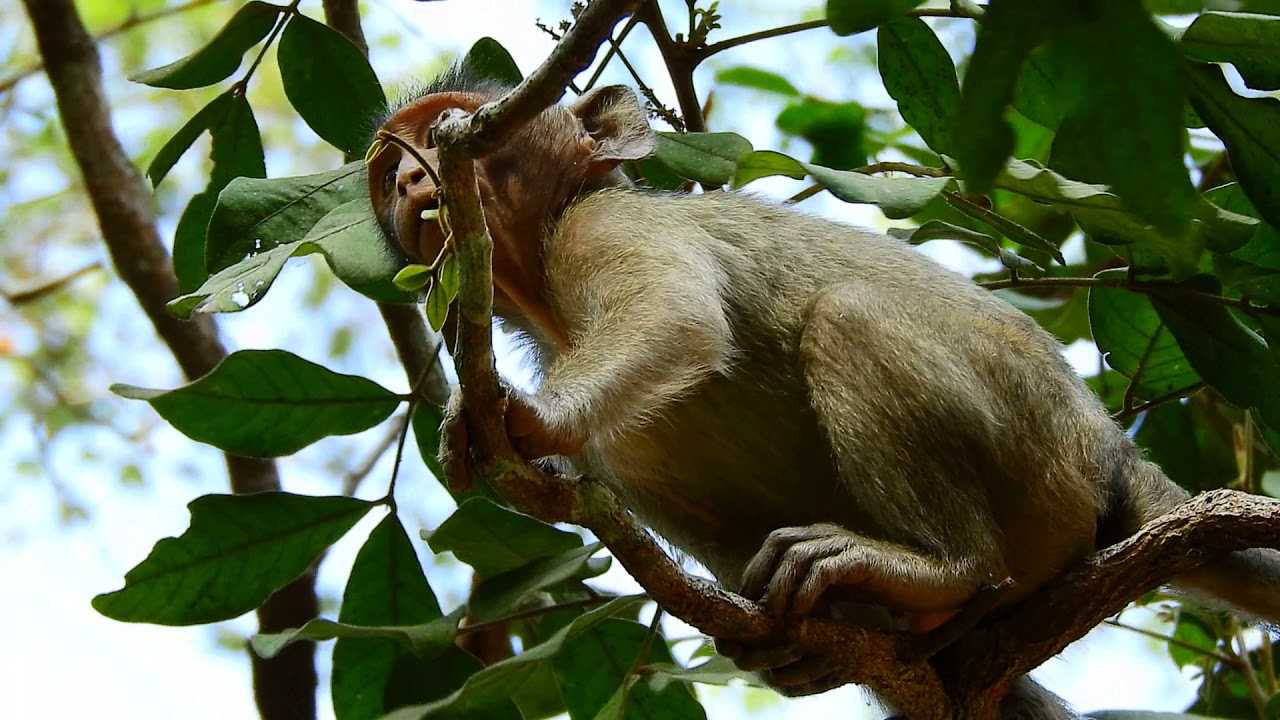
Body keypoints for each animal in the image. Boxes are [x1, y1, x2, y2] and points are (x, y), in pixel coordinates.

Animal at [367, 65, 1280, 719]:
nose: (412, 182)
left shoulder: (603, 229)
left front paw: (533, 414)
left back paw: (944, 570)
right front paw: (801, 649)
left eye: (448, 133)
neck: (541, 302)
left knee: (848, 317)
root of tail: (1113, 455)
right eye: (390, 167)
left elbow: (675, 320)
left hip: (1039, 450)